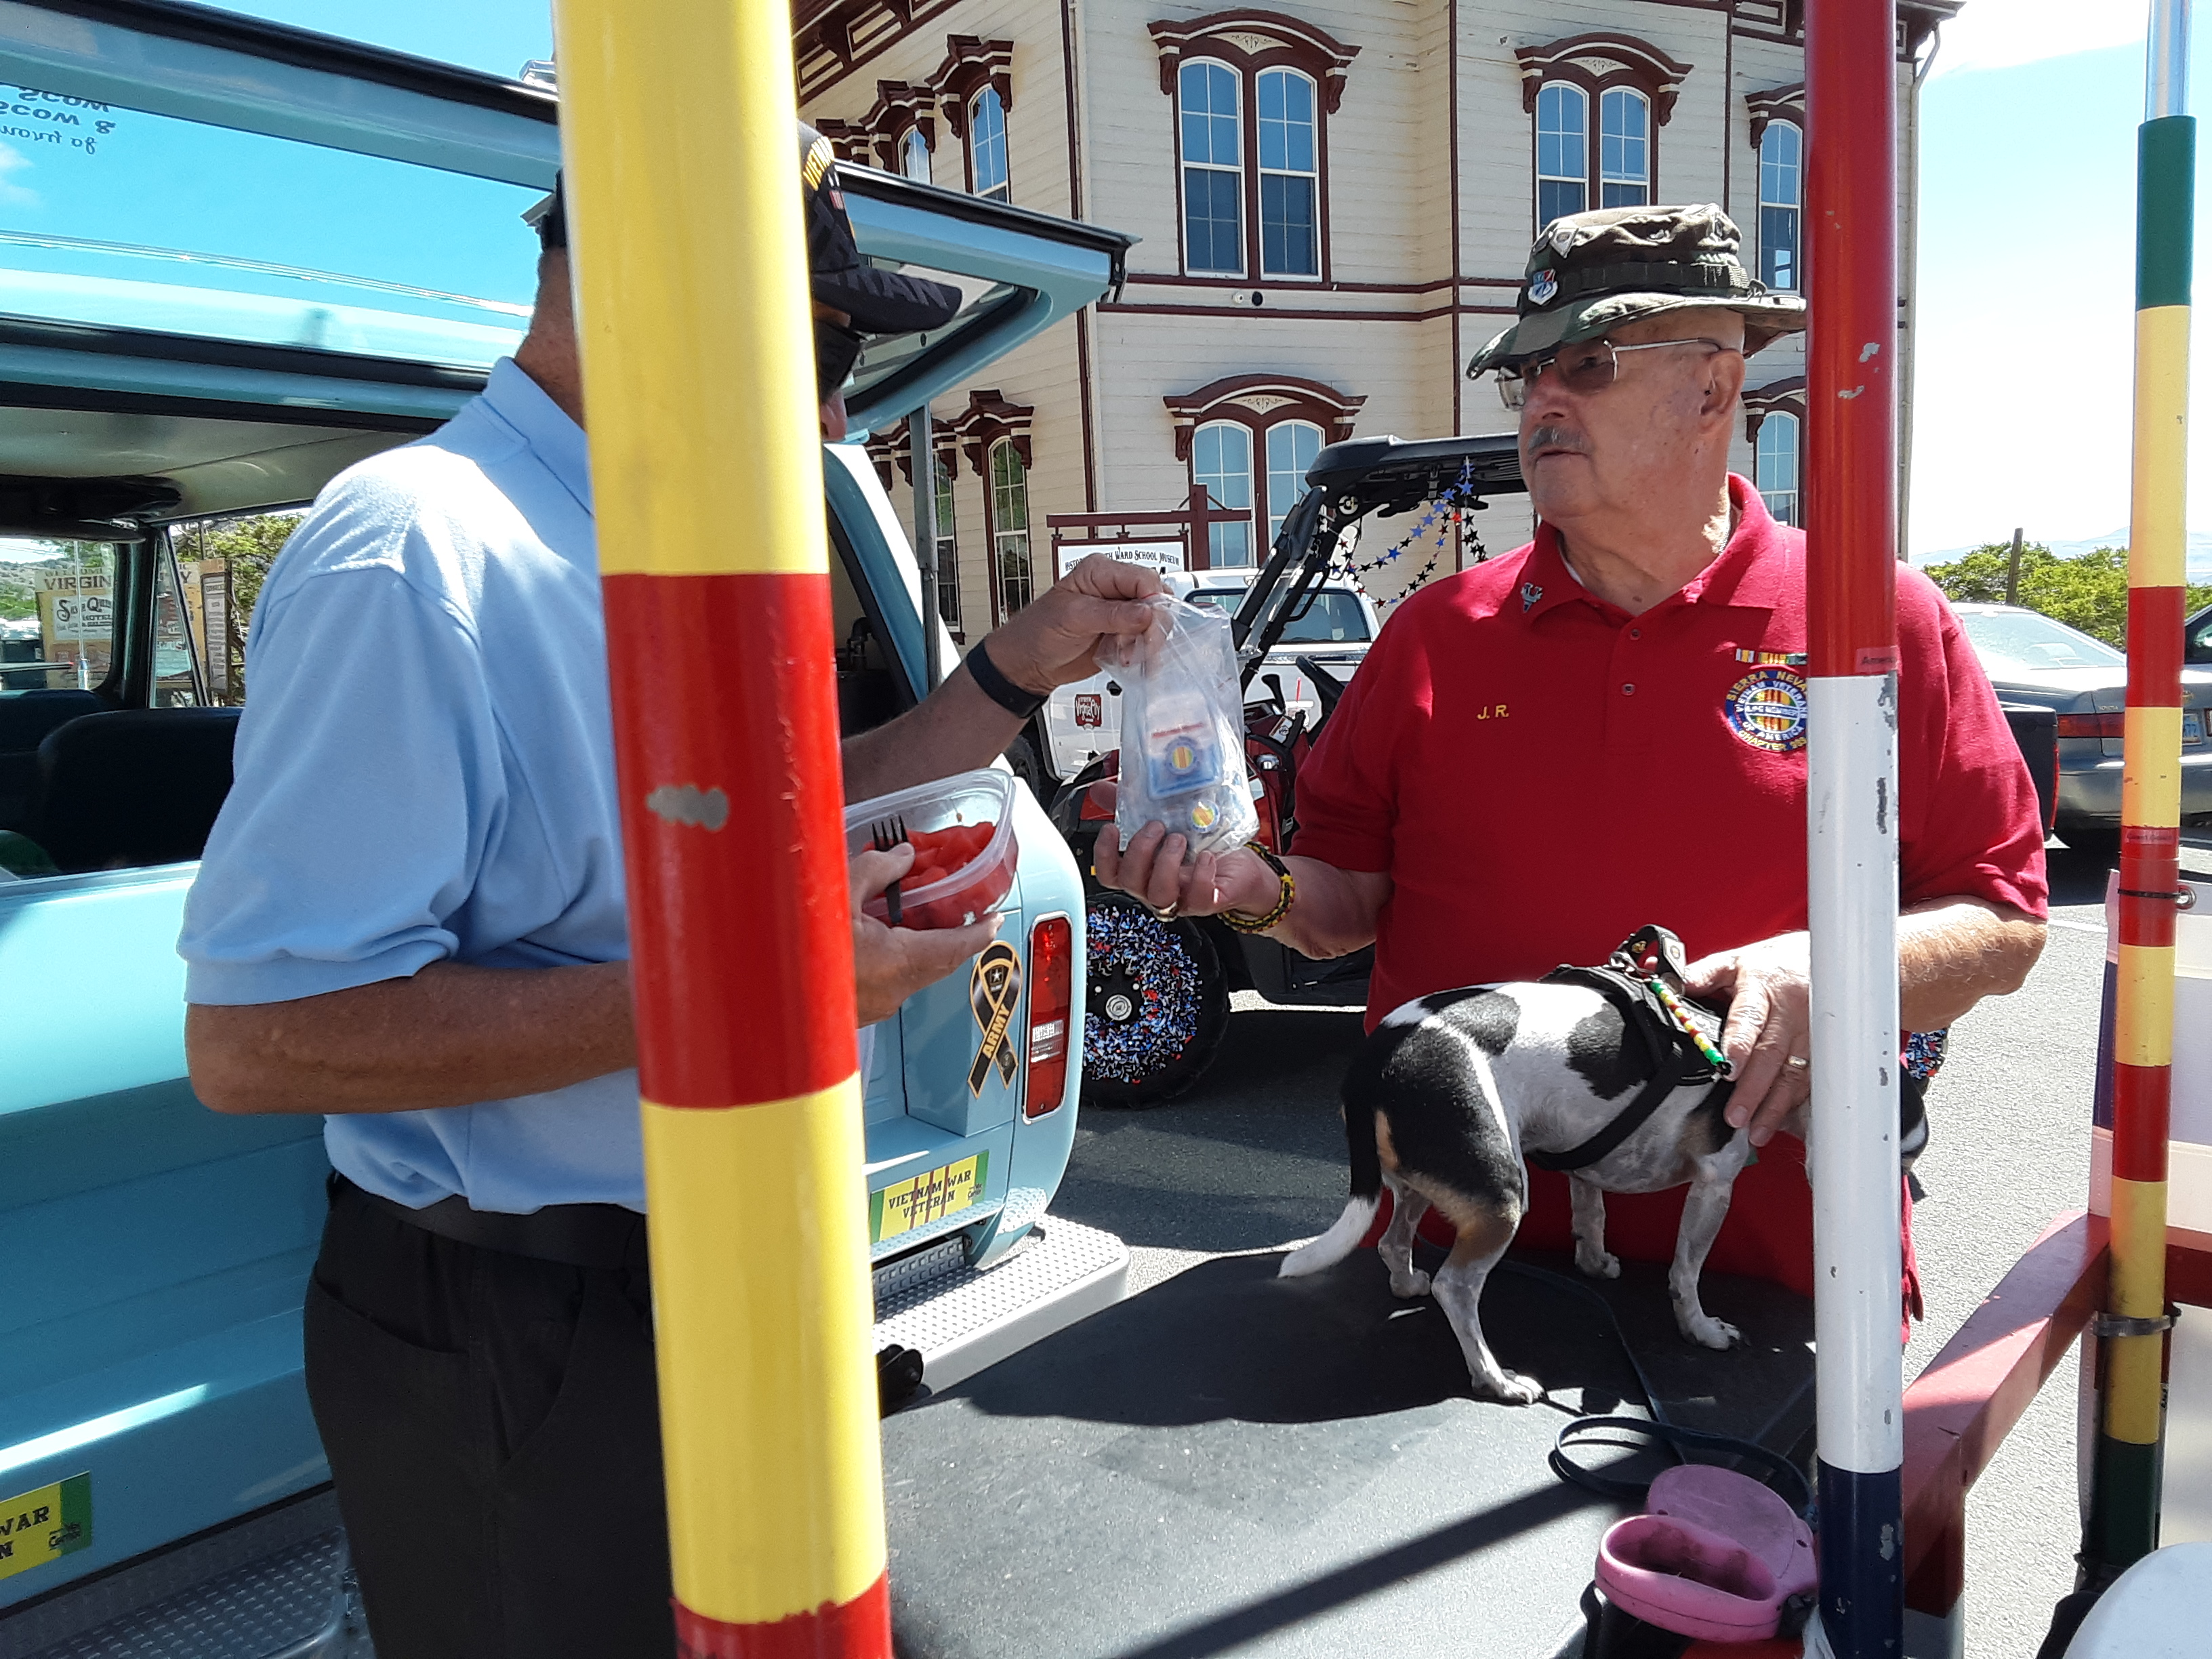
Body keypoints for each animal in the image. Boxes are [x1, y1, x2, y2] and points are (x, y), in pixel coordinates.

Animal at [1279, 926, 1774, 1404]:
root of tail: (1372, 1063)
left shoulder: (1586, 1160)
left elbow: (1591, 1217)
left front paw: (1595, 1263)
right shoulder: (1714, 1184)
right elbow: (1686, 1271)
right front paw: (1702, 1329)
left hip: (1428, 1180)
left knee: (1394, 1243)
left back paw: (1408, 1284)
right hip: (1501, 1196)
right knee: (1455, 1287)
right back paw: (1496, 1379)